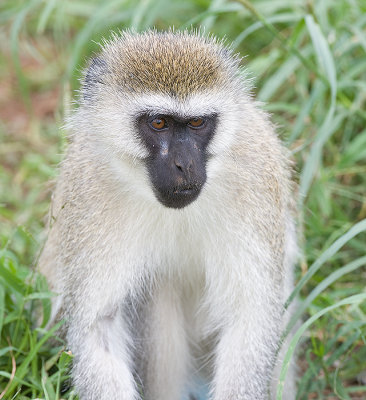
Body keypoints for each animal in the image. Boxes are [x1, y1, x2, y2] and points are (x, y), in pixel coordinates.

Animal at [40, 29, 298, 398]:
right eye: (159, 123)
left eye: (197, 122)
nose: (184, 164)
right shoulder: (87, 189)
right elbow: (98, 325)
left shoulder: (256, 177)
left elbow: (250, 317)